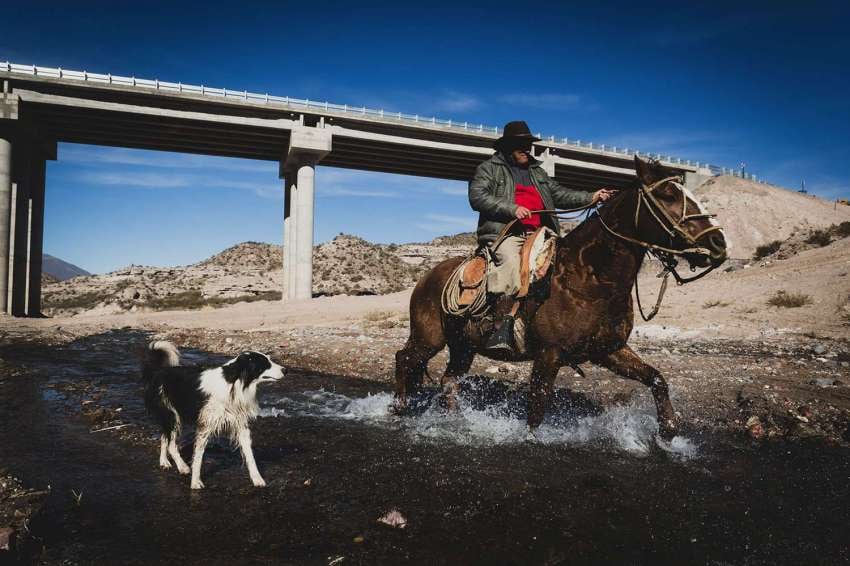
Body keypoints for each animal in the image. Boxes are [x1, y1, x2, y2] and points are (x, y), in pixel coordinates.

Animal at [140, 342, 284, 492]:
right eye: (265, 364)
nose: (285, 370)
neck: (233, 383)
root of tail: (159, 371)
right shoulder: (205, 425)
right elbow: (198, 457)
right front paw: (195, 483)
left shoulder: (240, 424)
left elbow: (250, 455)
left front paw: (257, 479)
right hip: (171, 416)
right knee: (171, 444)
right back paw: (182, 466)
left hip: (171, 417)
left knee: (165, 438)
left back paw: (164, 462)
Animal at [394, 158, 724, 442]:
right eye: (668, 195)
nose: (718, 243)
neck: (588, 279)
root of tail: (426, 277)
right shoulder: (548, 355)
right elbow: (537, 410)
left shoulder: (609, 351)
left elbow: (657, 378)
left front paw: (668, 430)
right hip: (429, 338)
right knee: (404, 358)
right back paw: (398, 407)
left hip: (463, 346)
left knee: (448, 382)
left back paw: (455, 421)